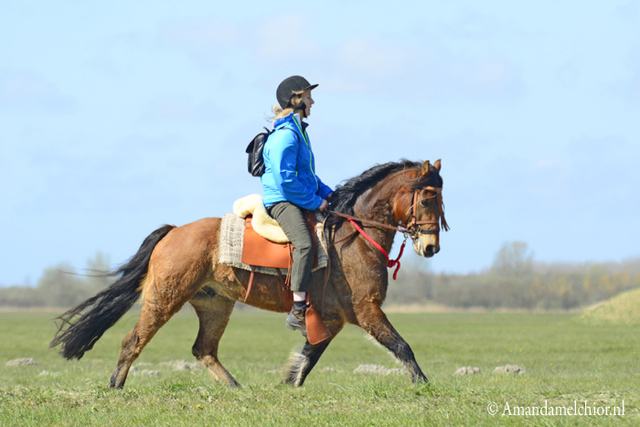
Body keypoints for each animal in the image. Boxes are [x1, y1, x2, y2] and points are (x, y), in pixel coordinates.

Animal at [51, 159, 450, 390]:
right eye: (429, 197)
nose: (431, 247)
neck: (352, 236)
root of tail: (174, 231)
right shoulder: (365, 310)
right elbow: (402, 346)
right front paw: (424, 386)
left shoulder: (333, 317)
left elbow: (308, 356)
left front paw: (287, 386)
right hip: (165, 298)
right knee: (133, 340)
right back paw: (115, 387)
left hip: (215, 305)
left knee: (203, 349)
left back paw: (236, 389)